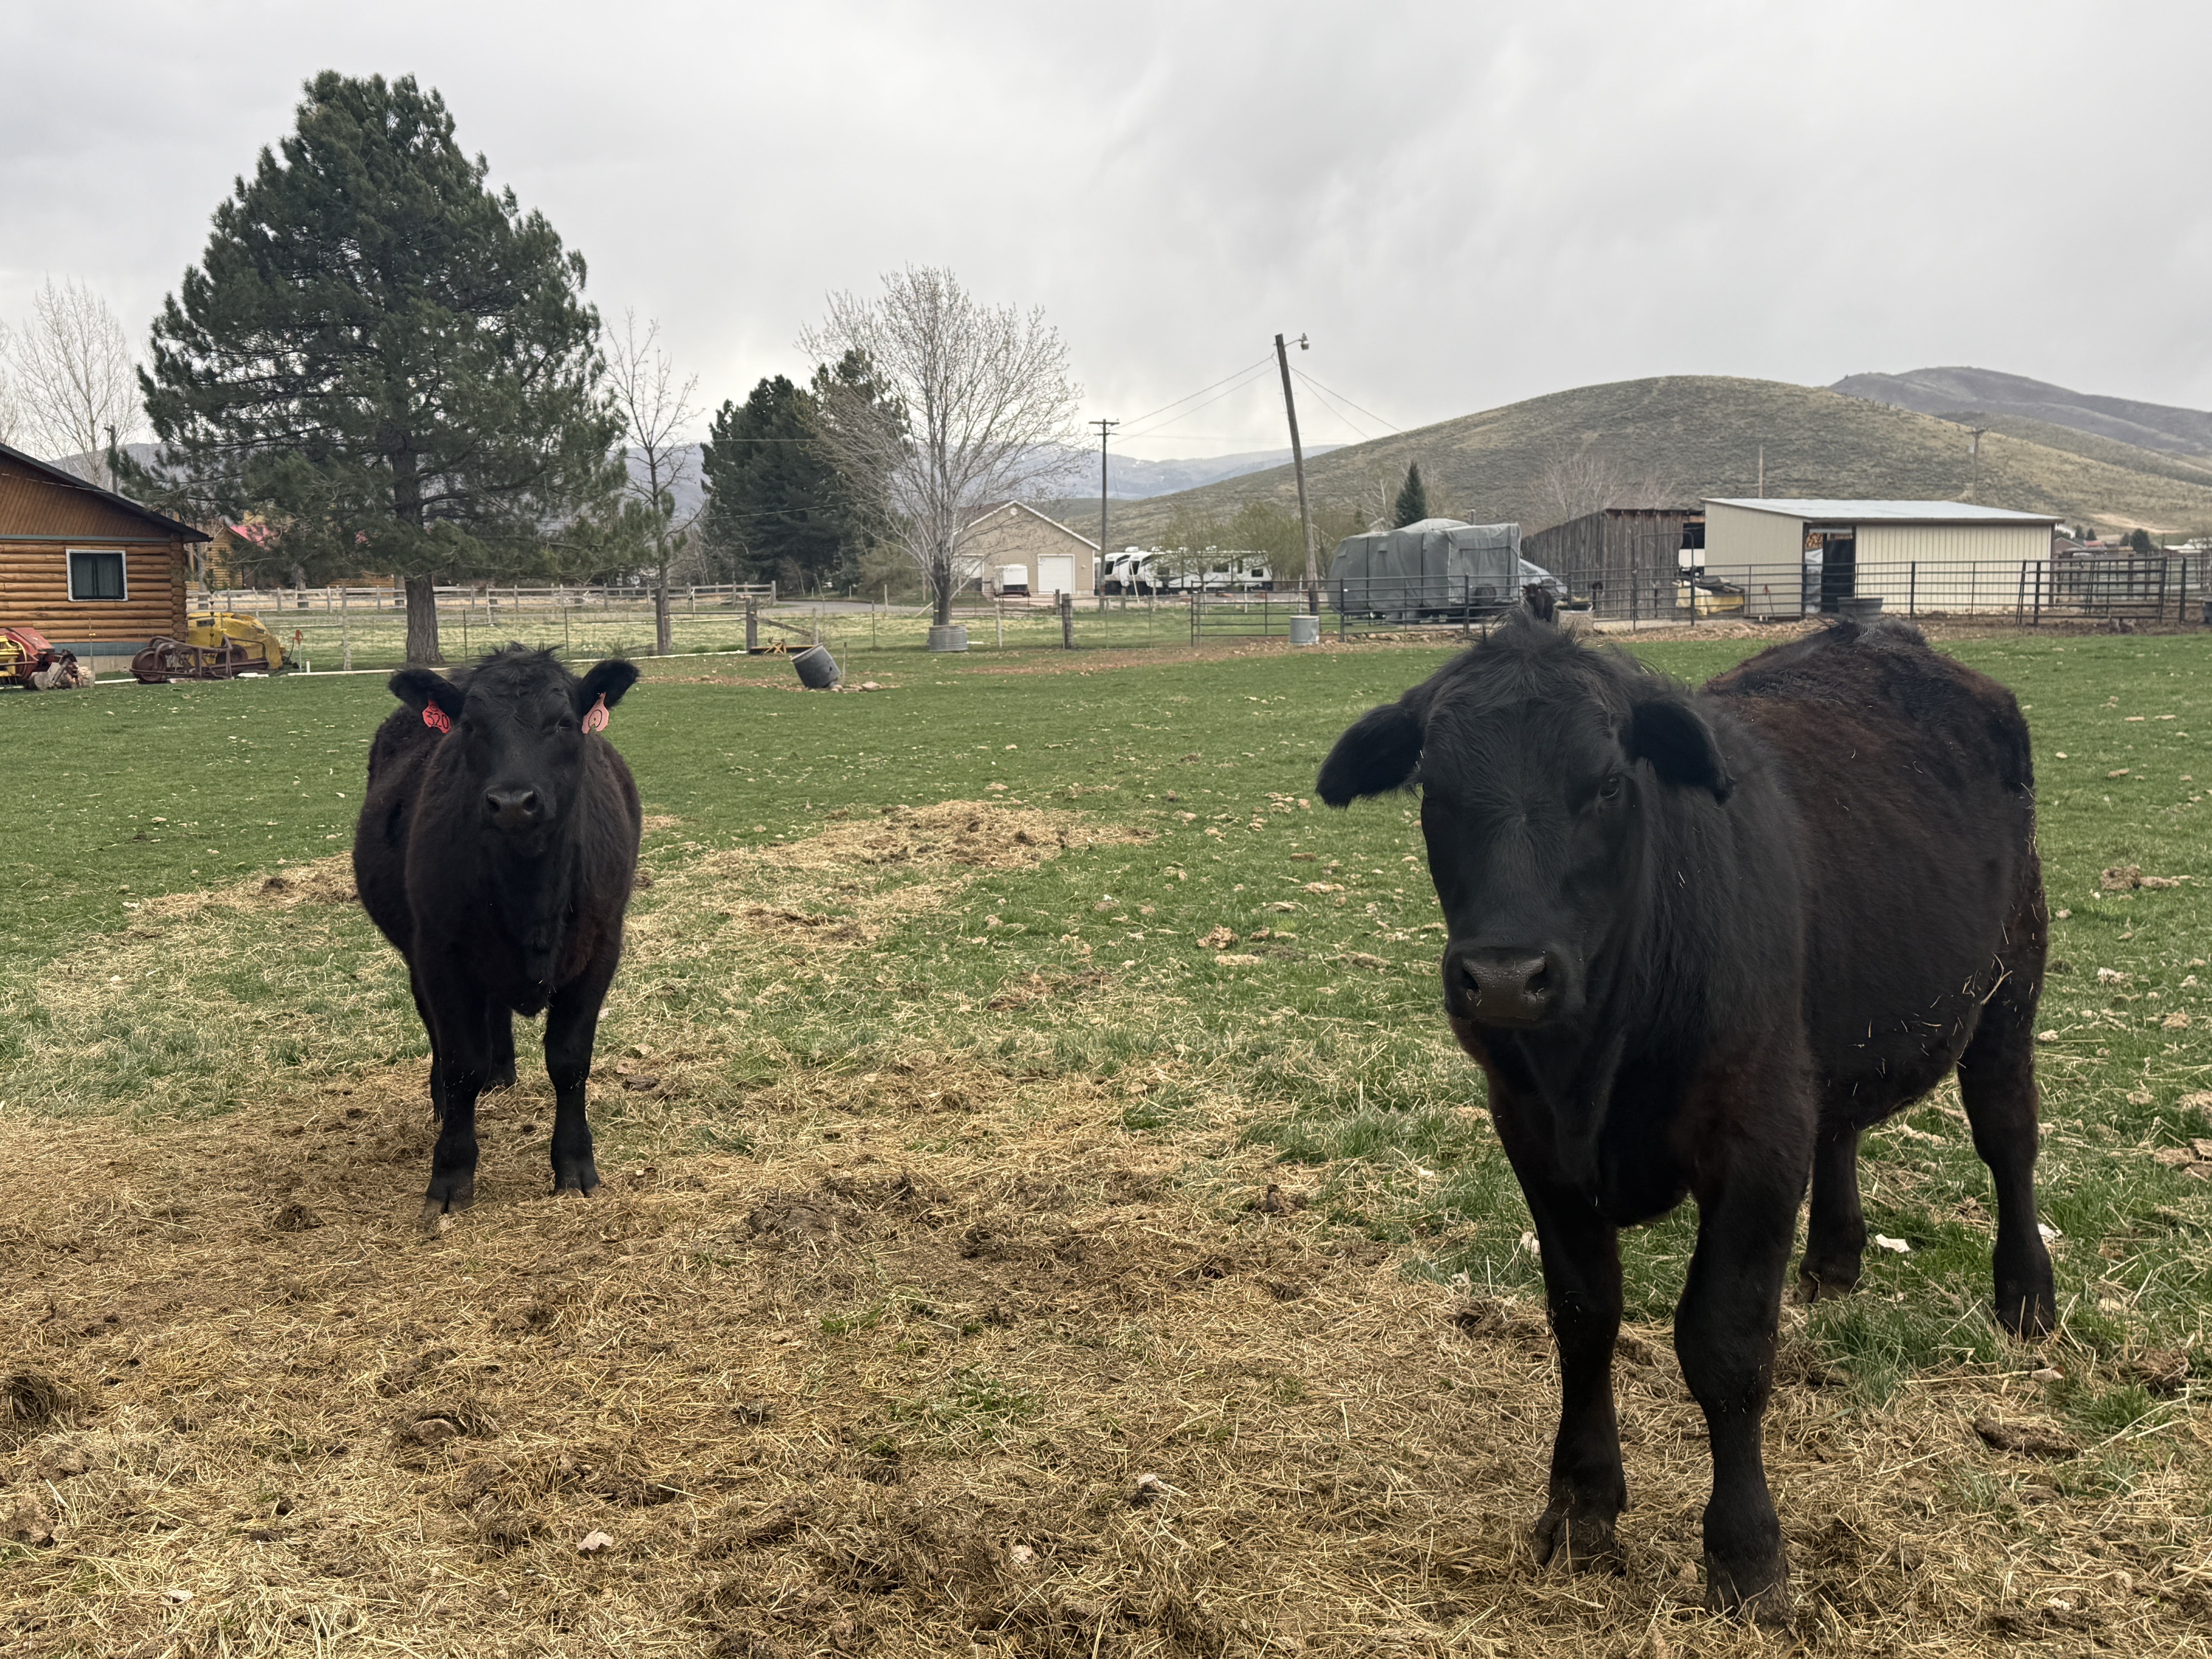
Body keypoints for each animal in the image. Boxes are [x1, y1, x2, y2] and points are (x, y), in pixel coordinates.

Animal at [353, 646, 642, 1229]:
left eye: (563, 723)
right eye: (471, 725)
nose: (512, 802)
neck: (530, 894)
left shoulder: (601, 948)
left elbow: (570, 1061)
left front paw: (574, 1166)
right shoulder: (440, 955)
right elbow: (462, 1062)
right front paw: (450, 1174)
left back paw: (503, 1073)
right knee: (443, 1037)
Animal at [1317, 613, 2053, 1621]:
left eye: (1608, 784)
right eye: (1435, 786)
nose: (1504, 977)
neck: (1594, 1063)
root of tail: (1882, 635)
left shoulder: (1756, 1137)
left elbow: (1725, 1345)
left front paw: (1746, 1552)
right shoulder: (1534, 1138)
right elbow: (1584, 1314)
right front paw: (1583, 1503)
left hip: (2010, 985)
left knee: (2008, 1133)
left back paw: (2027, 1297)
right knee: (1843, 1125)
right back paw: (1834, 1260)